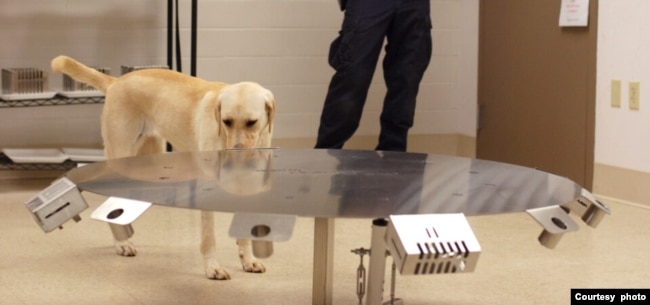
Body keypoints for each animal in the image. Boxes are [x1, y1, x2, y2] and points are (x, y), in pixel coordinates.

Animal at [50, 54, 274, 278]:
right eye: (227, 121)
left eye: (251, 122)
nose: (237, 153)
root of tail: (116, 82)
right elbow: (209, 237)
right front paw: (212, 267)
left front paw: (248, 260)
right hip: (121, 161)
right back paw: (121, 242)